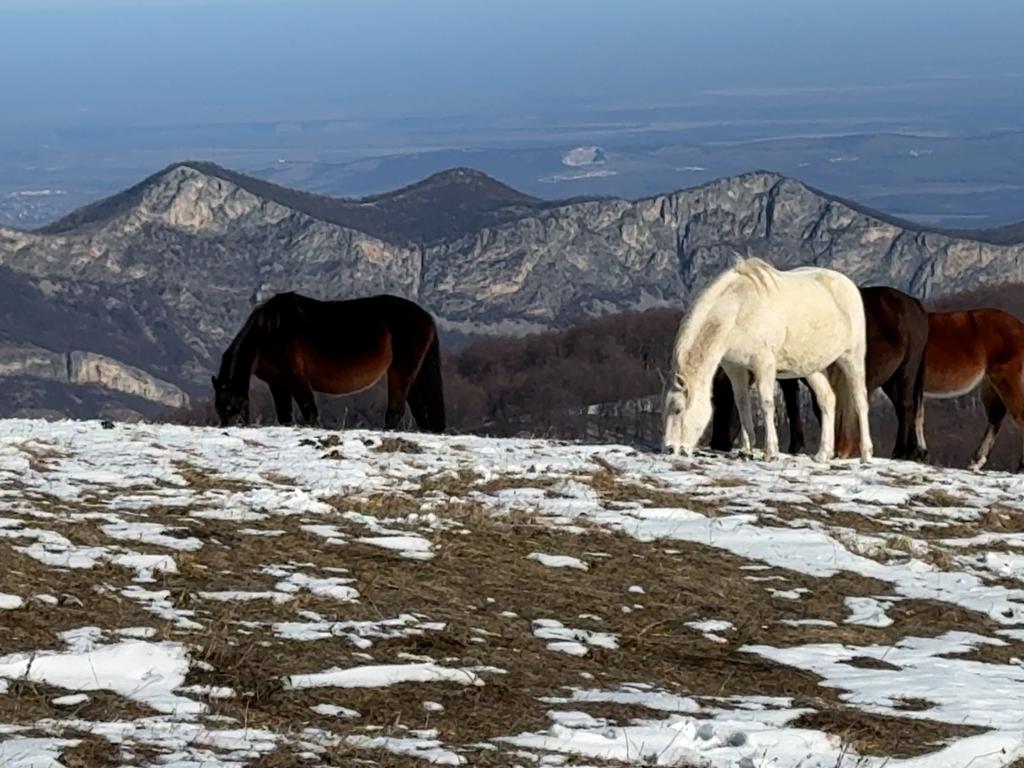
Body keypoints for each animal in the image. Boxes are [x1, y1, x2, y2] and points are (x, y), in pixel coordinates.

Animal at [210, 292, 444, 430]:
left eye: (232, 406)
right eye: (219, 408)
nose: (228, 428)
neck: (270, 330)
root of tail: (426, 317)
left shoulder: (296, 378)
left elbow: (309, 409)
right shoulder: (277, 383)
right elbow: (285, 415)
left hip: (400, 371)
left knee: (396, 409)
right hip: (413, 374)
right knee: (419, 409)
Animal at [663, 259, 872, 462]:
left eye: (678, 410)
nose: (670, 449)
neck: (740, 309)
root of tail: (848, 284)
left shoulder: (764, 365)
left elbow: (766, 404)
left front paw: (771, 451)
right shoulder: (735, 368)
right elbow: (742, 403)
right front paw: (746, 449)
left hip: (851, 358)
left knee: (860, 400)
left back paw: (866, 454)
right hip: (813, 369)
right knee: (827, 399)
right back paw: (823, 454)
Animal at [712, 286, 929, 460]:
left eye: (727, 400)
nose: (717, 443)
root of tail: (915, 304)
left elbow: (798, 404)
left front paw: (802, 446)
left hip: (906, 371)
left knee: (905, 406)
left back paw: (900, 451)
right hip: (890, 381)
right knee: (902, 408)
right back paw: (912, 452)